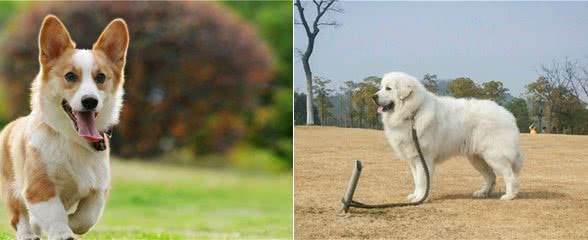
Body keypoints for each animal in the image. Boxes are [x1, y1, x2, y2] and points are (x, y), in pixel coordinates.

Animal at [0, 15, 128, 240]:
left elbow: (87, 217)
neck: (72, 139)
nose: (90, 101)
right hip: (11, 187)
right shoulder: (38, 187)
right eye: (70, 76)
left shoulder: (98, 188)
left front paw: (72, 224)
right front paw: (62, 232)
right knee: (19, 216)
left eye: (101, 78)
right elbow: (54, 213)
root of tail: (11, 125)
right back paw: (27, 233)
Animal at [374, 72, 520, 202]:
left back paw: (509, 195)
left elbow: (421, 181)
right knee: (491, 176)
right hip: (477, 158)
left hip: (495, 156)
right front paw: (415, 196)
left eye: (388, 88)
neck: (413, 113)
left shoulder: (423, 158)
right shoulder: (413, 158)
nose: (373, 96)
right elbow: (416, 180)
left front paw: (420, 198)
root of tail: (507, 114)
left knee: (509, 175)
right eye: (381, 87)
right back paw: (483, 193)